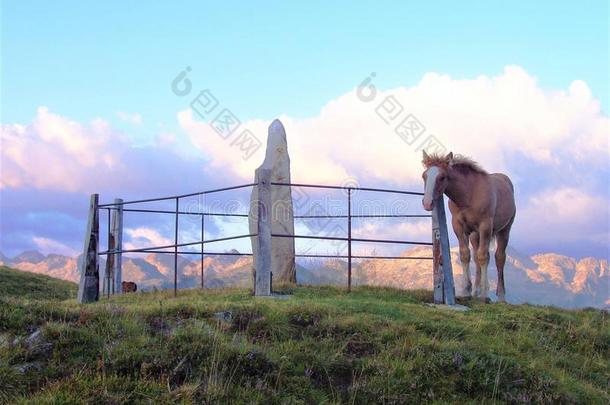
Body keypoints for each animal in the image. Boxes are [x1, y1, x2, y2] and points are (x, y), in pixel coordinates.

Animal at [422, 152, 512, 300]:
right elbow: (465, 255)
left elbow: (484, 257)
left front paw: (485, 294)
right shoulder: (458, 226)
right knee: (476, 257)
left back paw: (501, 296)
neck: (469, 195)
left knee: (499, 257)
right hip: (475, 235)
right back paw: (476, 291)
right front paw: (466, 290)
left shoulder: (485, 226)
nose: (427, 203)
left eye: (442, 177)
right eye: (424, 175)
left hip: (504, 230)